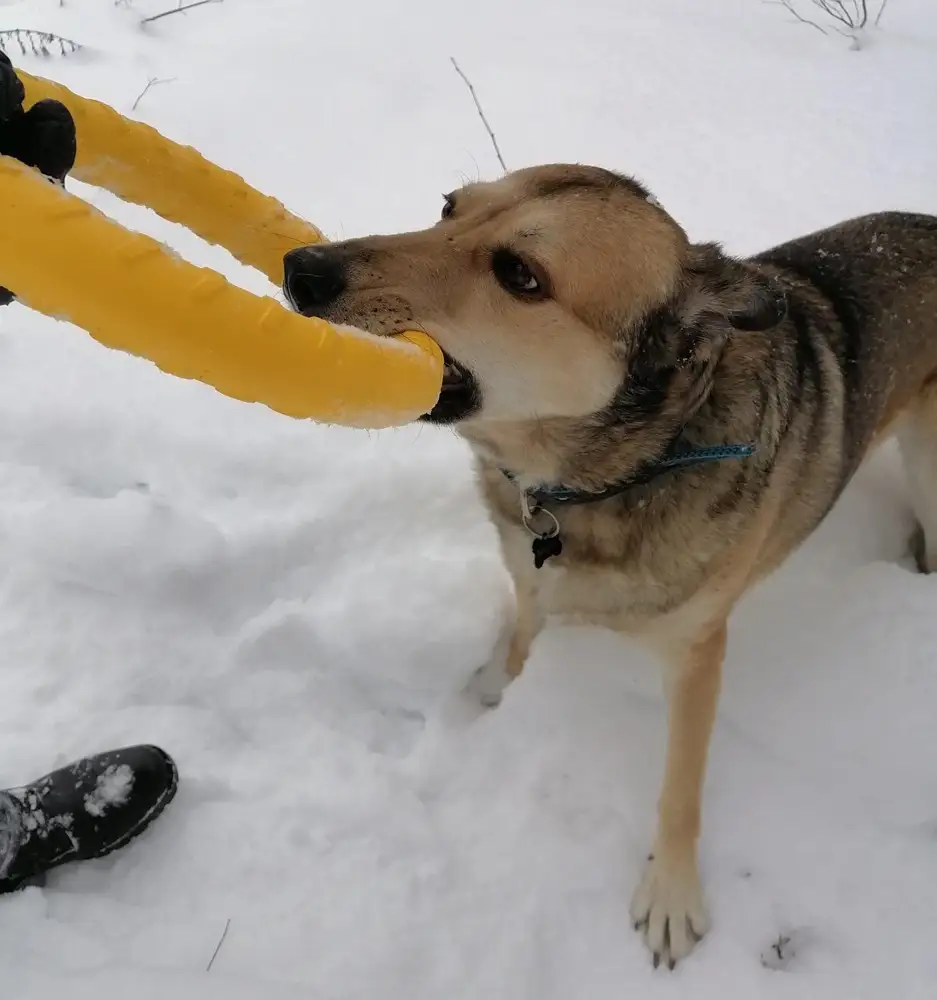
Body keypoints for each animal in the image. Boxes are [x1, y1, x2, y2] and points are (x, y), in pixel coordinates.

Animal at [282, 164, 936, 968]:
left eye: (519, 274)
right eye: (448, 207)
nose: (303, 269)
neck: (611, 474)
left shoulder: (696, 651)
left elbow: (680, 789)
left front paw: (672, 895)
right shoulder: (529, 568)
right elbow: (523, 632)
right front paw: (497, 688)